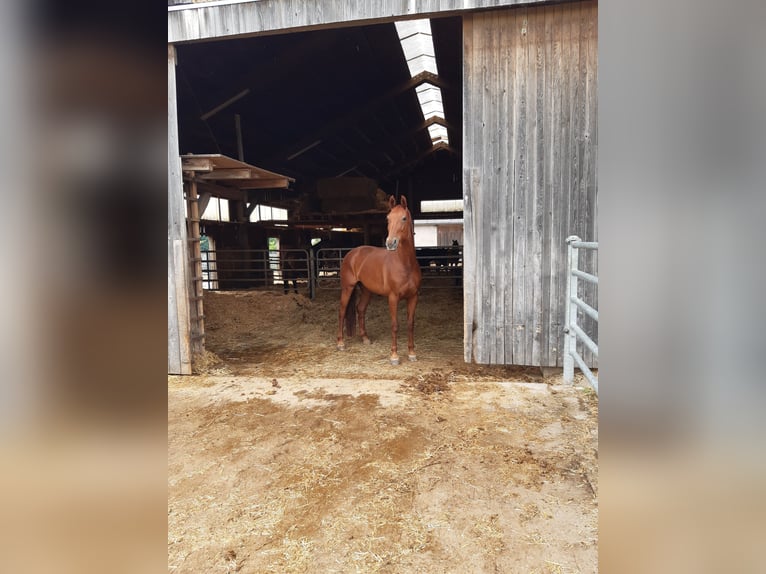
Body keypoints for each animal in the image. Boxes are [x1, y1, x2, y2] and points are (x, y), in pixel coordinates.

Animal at [337, 195, 422, 365]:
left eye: (404, 218)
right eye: (388, 218)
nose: (390, 243)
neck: (405, 264)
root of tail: (352, 253)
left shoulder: (413, 297)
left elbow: (410, 324)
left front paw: (412, 353)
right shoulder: (393, 298)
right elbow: (395, 325)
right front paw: (394, 356)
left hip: (366, 290)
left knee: (360, 309)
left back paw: (365, 338)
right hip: (348, 288)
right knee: (342, 311)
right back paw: (341, 343)